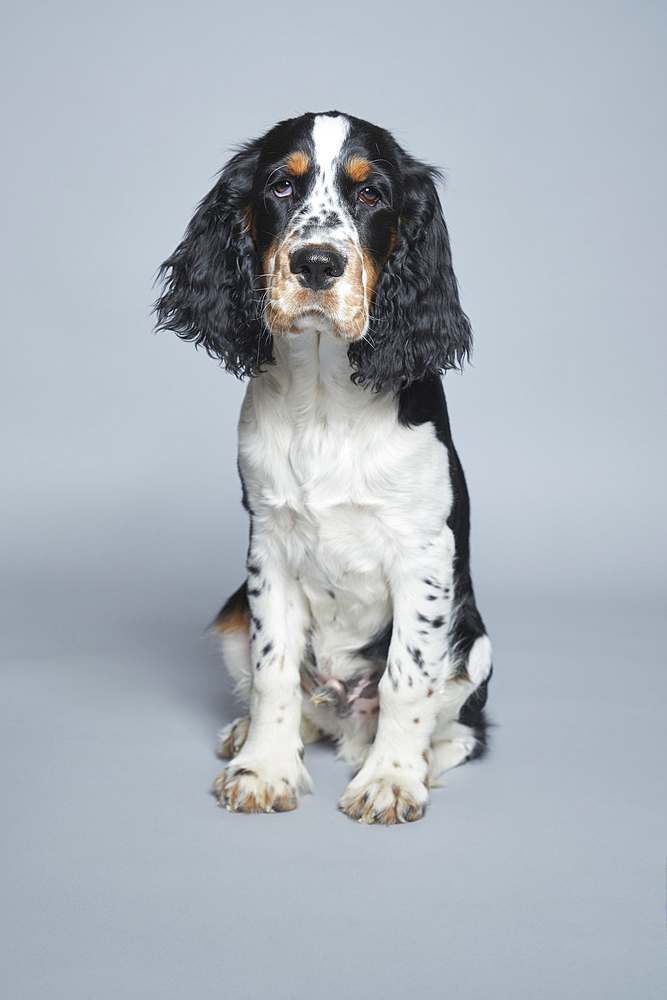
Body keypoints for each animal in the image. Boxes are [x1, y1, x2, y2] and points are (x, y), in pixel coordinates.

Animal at [155, 111, 490, 828]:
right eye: (281, 186)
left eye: (371, 194)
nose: (316, 262)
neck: (325, 396)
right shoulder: (268, 544)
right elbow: (274, 668)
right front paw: (264, 767)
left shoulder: (424, 552)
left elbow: (406, 676)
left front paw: (391, 780)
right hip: (233, 613)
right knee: (298, 701)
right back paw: (250, 735)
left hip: (474, 646)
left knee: (464, 729)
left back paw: (417, 758)